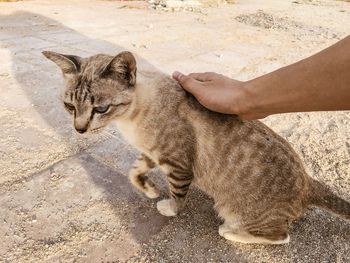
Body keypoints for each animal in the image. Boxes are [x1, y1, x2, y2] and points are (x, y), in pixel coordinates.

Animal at [42, 51, 348, 245]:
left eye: (101, 108)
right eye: (69, 106)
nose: (79, 129)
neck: (130, 119)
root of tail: (308, 181)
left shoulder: (177, 163)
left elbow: (178, 194)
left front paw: (169, 207)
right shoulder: (153, 153)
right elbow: (134, 171)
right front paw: (149, 189)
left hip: (234, 209)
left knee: (281, 237)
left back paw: (230, 232)